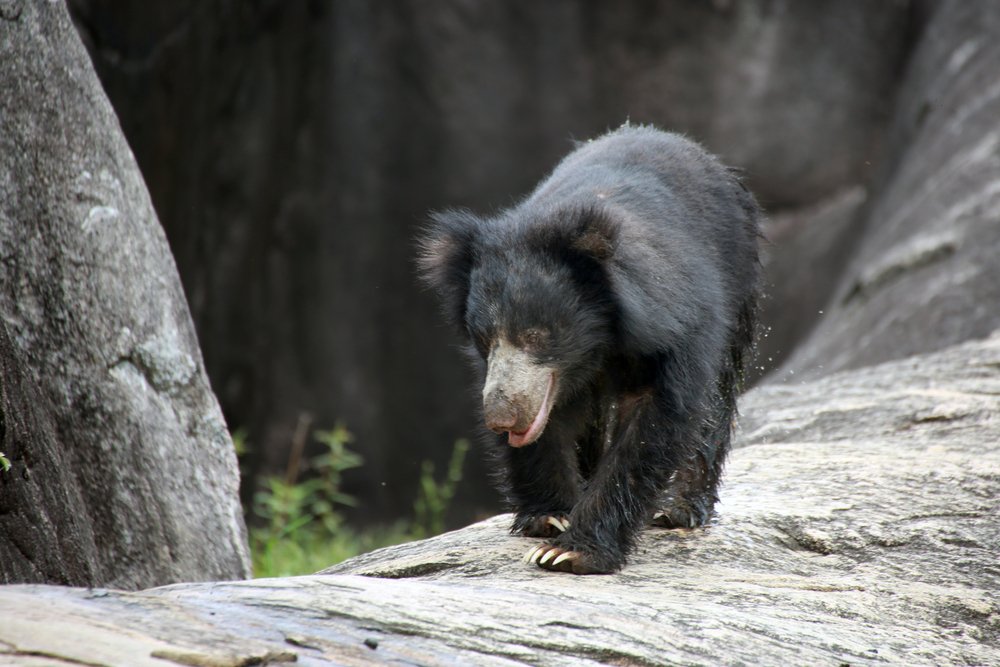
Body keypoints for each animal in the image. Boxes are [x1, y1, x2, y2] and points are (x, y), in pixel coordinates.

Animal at [418, 125, 760, 576]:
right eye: (484, 338)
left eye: (536, 335)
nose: (501, 417)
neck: (599, 345)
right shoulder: (539, 381)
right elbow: (553, 425)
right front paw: (549, 517)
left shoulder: (673, 328)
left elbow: (652, 427)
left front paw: (571, 551)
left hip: (740, 282)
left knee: (718, 399)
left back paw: (679, 509)